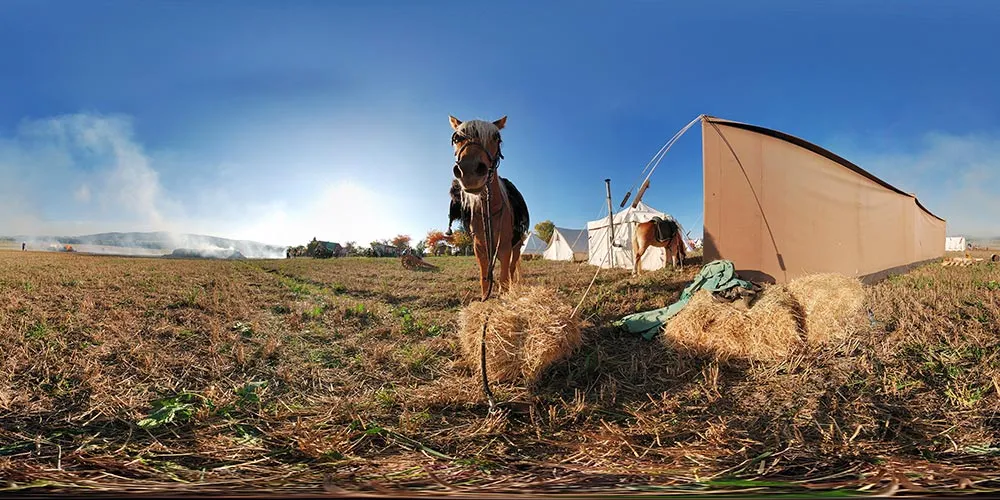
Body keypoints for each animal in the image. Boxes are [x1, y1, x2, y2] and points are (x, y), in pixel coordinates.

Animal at [448, 115, 529, 300]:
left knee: (511, 270)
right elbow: (485, 281)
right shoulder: (480, 249)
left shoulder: (505, 248)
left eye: (496, 138)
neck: (489, 212)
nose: (470, 171)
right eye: (457, 138)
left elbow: (505, 279)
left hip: (516, 247)